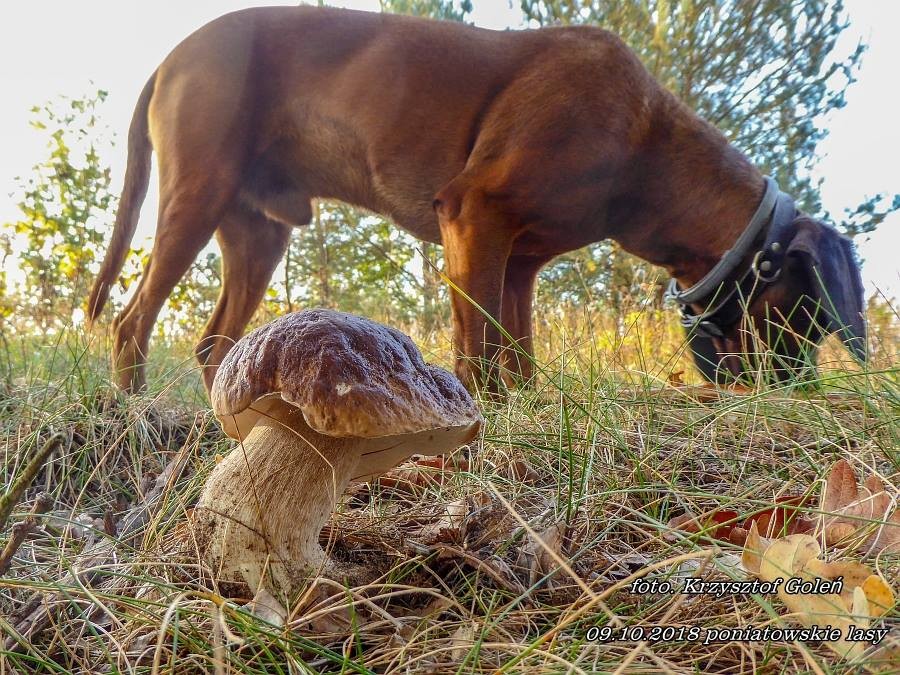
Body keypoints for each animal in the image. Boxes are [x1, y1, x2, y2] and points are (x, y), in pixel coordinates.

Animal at [86, 5, 864, 394]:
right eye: (805, 320)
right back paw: (136, 410)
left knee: (213, 345)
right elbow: (478, 352)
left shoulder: (517, 264)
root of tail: (169, 57)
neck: (645, 140)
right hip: (198, 194)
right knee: (129, 322)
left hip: (257, 236)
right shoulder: (474, 215)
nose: (802, 392)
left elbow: (515, 355)